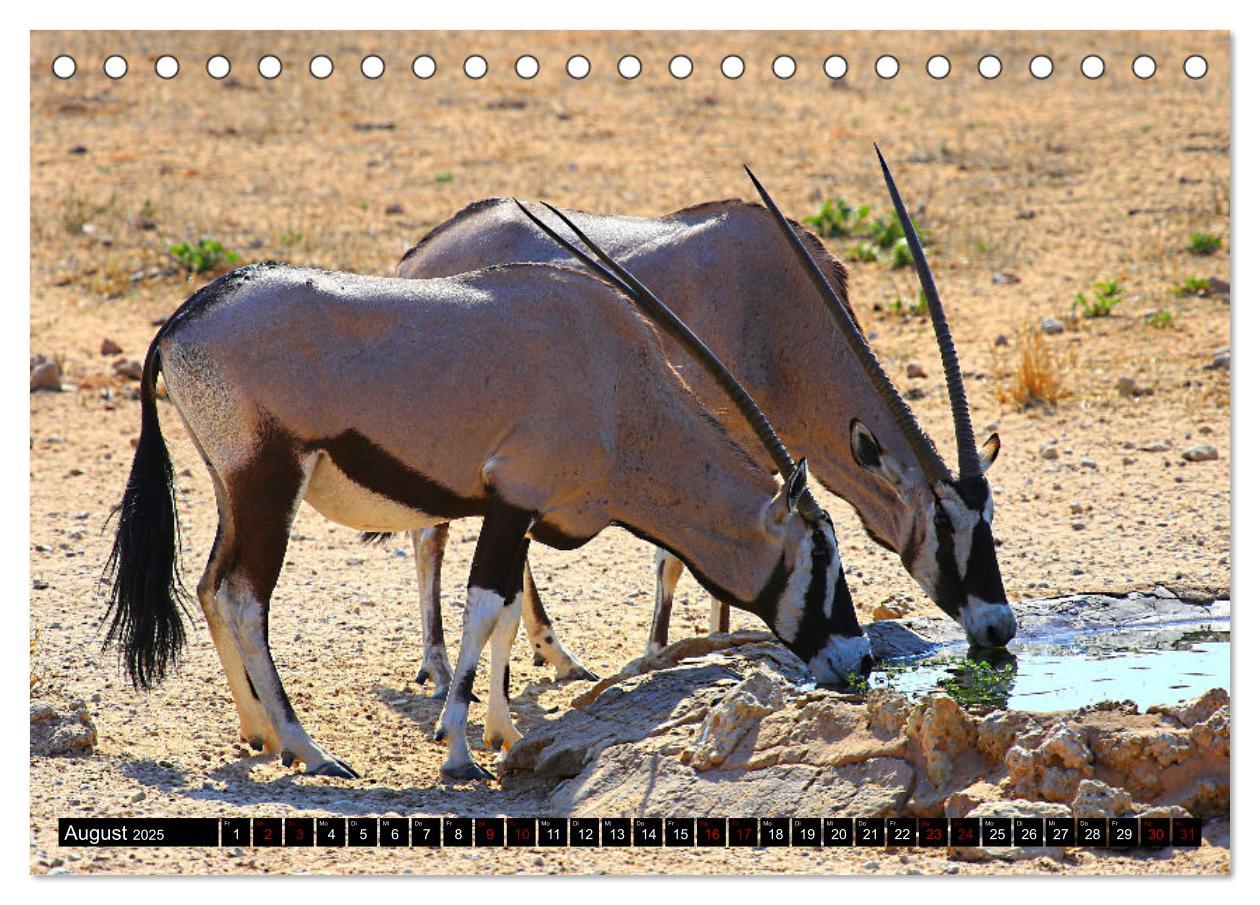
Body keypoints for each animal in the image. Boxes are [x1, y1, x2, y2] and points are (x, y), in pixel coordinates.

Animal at [105, 210, 866, 781]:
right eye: (820, 557)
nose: (858, 660)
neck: (615, 380)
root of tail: (183, 320)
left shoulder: (520, 512)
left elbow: (503, 615)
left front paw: (501, 732)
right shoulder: (513, 500)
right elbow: (483, 608)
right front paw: (459, 750)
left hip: (234, 489)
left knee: (210, 587)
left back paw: (257, 730)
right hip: (269, 482)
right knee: (244, 598)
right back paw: (307, 748)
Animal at [393, 150, 1013, 685]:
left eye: (988, 517)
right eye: (942, 524)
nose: (999, 626)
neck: (776, 313)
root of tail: (419, 256)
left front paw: (725, 639)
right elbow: (672, 558)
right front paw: (662, 650)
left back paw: (552, 653)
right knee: (430, 533)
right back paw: (443, 663)